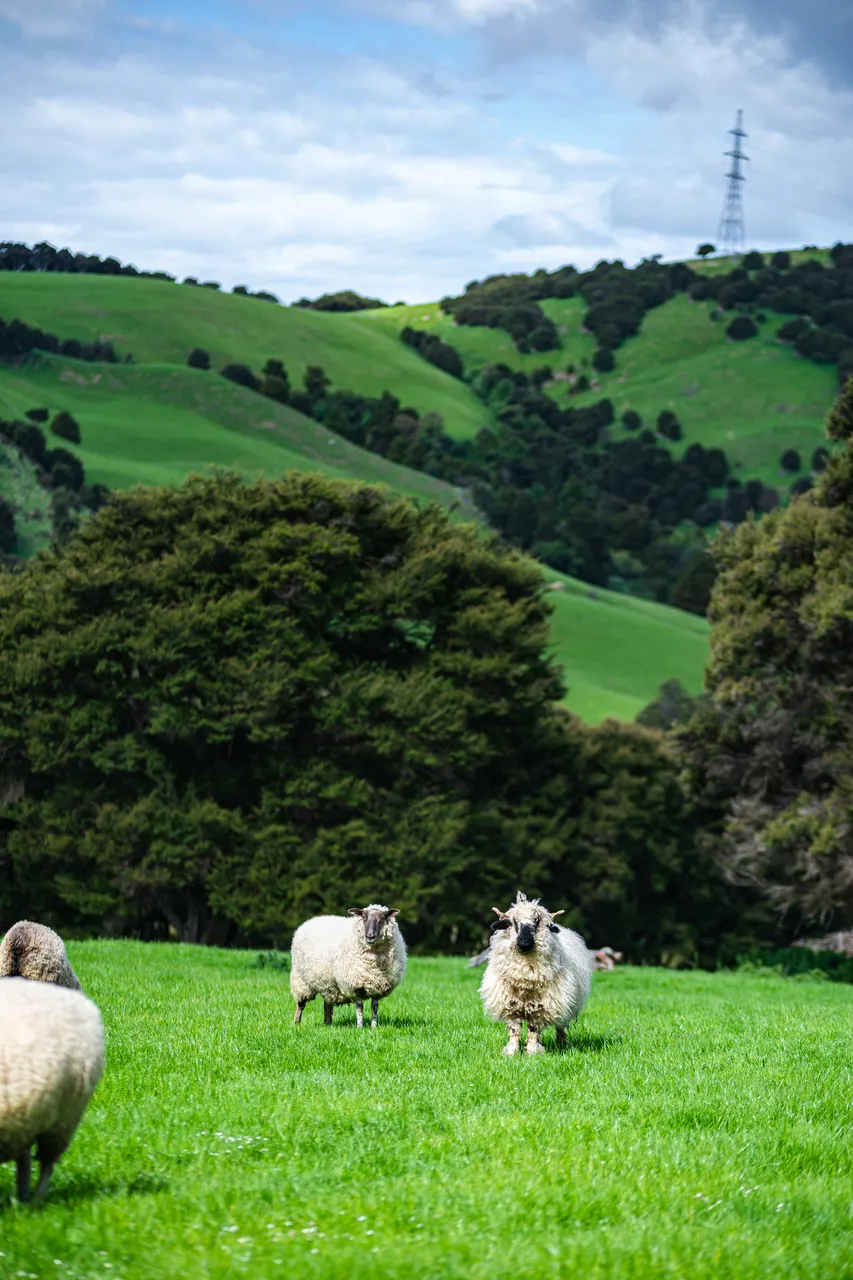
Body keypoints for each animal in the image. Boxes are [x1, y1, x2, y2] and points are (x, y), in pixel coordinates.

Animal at [479, 891, 592, 1056]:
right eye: (514, 922)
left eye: (536, 921)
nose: (525, 942)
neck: (525, 977)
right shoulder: (509, 1004)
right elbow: (514, 1029)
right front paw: (511, 1052)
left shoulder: (542, 1005)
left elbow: (533, 1029)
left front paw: (532, 1052)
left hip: (565, 1002)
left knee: (561, 1026)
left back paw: (562, 1044)